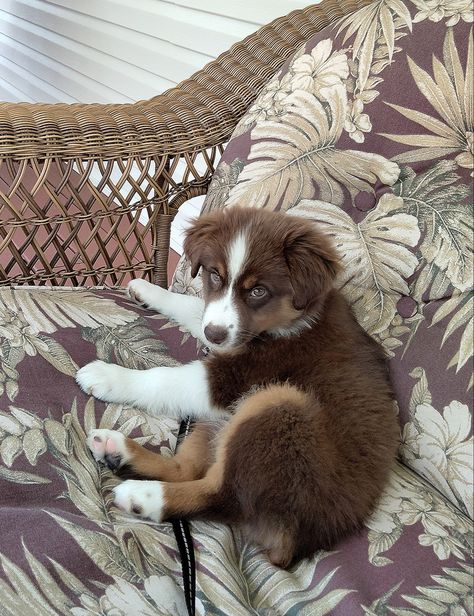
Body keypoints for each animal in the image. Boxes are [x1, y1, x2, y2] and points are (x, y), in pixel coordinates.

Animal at [76, 206, 398, 568]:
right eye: (215, 276)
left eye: (258, 291)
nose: (214, 336)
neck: (289, 323)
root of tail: (296, 545)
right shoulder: (223, 332)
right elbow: (193, 307)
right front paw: (147, 289)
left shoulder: (235, 376)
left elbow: (163, 378)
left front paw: (107, 376)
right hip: (221, 421)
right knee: (185, 470)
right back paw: (118, 452)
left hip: (279, 402)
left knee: (226, 498)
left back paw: (145, 496)